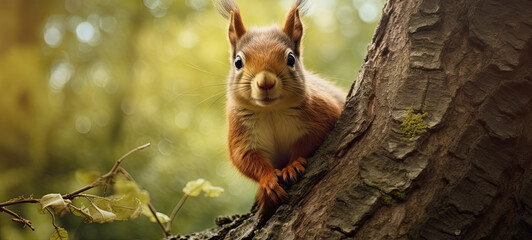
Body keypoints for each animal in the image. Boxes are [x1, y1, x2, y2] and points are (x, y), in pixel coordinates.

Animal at [215, 0, 344, 214]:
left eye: (291, 58)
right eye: (238, 62)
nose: (265, 82)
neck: (271, 111)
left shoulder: (322, 113)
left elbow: (310, 141)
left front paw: (292, 165)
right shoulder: (241, 133)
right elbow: (245, 158)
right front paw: (267, 181)